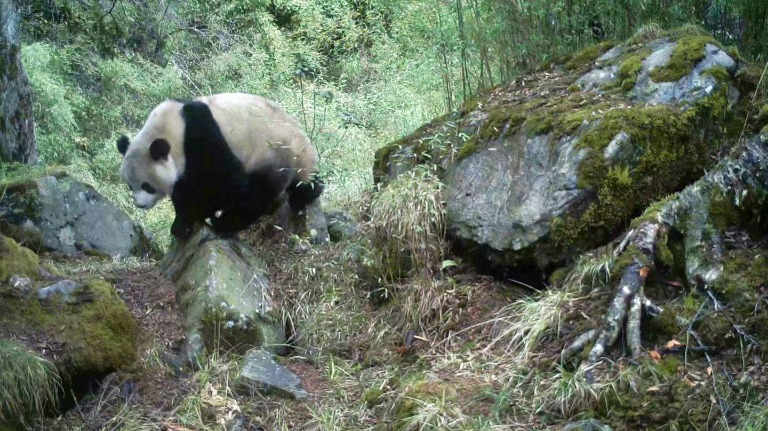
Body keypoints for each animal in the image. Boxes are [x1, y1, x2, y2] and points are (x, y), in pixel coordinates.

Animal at [117, 93, 324, 240]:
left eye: (147, 186)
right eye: (130, 185)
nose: (139, 204)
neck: (172, 126)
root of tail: (304, 146)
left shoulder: (200, 137)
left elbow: (228, 183)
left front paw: (189, 219)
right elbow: (184, 186)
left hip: (271, 153)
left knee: (258, 193)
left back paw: (225, 222)